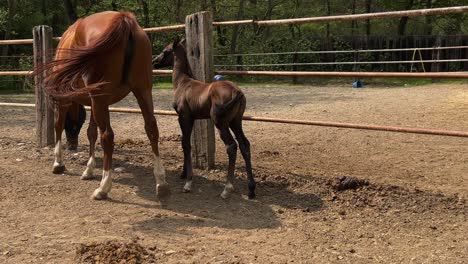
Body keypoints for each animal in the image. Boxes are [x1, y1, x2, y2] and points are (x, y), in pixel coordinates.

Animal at [154, 39, 256, 199]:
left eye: (165, 51)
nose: (154, 61)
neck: (182, 82)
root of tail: (236, 91)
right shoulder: (191, 118)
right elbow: (186, 142)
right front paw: (183, 174)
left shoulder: (184, 117)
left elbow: (185, 144)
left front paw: (188, 181)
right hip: (236, 122)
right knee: (244, 144)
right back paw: (251, 189)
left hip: (221, 123)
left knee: (232, 146)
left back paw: (227, 188)